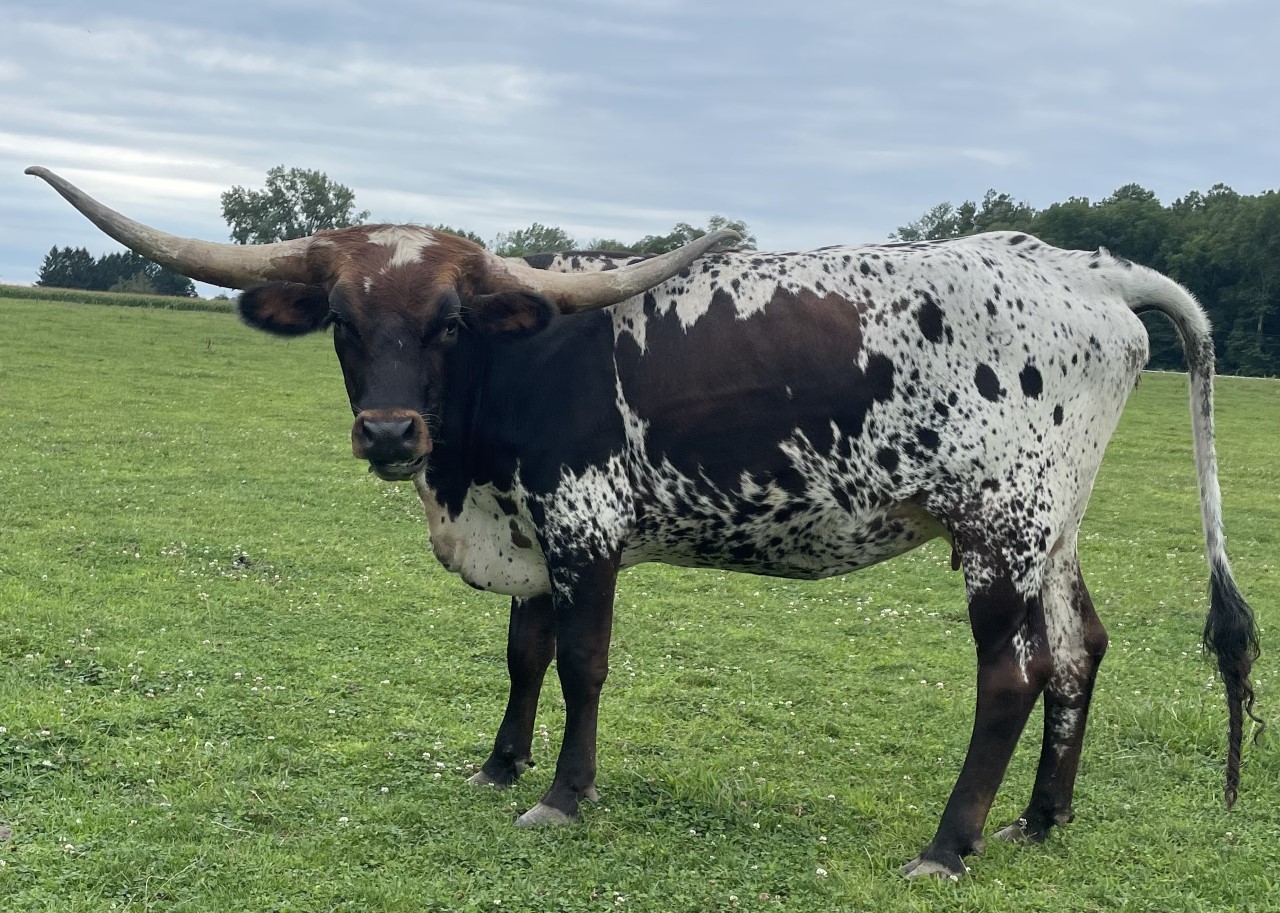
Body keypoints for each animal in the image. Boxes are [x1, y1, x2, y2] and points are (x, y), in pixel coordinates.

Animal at [27, 165, 1260, 880]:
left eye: (449, 322)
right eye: (341, 320)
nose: (387, 433)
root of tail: (1084, 269)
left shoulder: (582, 524)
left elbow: (580, 662)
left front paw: (563, 796)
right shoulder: (528, 532)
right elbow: (522, 654)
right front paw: (497, 766)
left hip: (996, 527)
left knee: (1012, 672)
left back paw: (948, 845)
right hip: (1050, 524)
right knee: (1078, 649)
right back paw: (1040, 822)